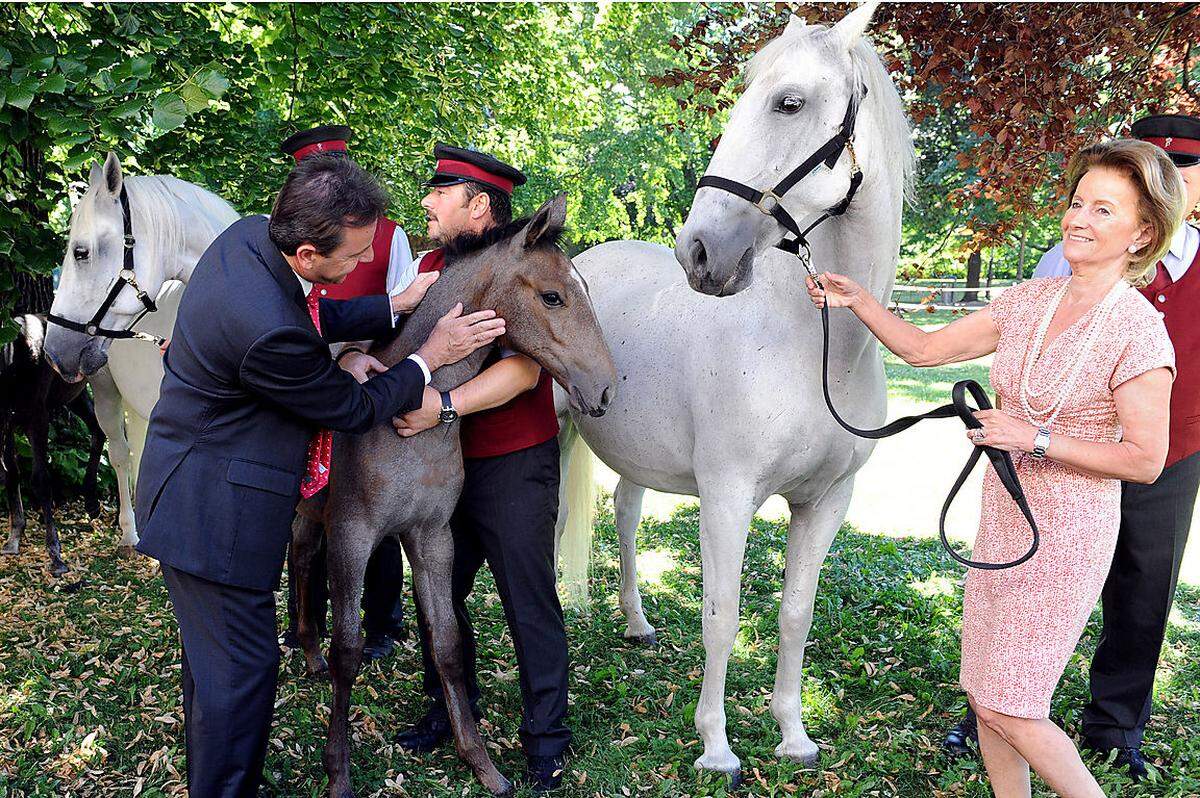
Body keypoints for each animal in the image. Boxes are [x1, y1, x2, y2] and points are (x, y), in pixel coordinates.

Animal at [556, 3, 912, 777]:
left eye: (789, 102)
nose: (700, 253)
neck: (815, 350)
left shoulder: (825, 501)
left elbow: (794, 613)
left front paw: (793, 734)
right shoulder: (726, 495)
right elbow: (721, 616)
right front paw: (716, 747)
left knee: (626, 514)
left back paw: (636, 622)